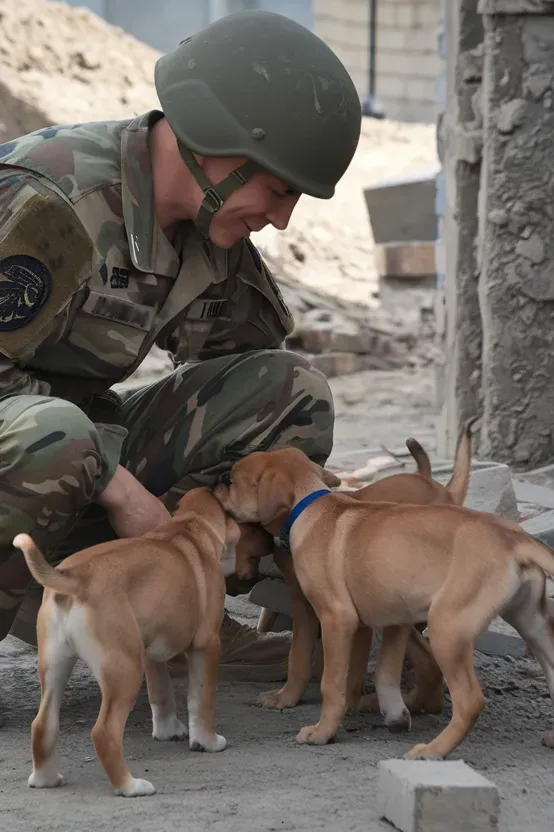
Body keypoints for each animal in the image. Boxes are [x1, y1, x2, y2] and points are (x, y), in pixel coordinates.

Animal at [12, 488, 239, 800]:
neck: (191, 527)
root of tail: (77, 581)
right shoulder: (206, 646)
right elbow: (201, 701)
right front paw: (207, 741)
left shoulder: (151, 654)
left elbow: (162, 694)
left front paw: (168, 730)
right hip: (125, 670)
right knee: (105, 732)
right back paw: (130, 786)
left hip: (55, 664)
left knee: (42, 724)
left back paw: (45, 779)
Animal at [212, 448, 554, 760]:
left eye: (232, 480)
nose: (215, 482)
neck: (310, 508)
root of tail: (515, 539)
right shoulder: (392, 618)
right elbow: (383, 671)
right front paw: (393, 713)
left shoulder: (337, 617)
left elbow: (330, 683)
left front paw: (323, 732)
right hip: (532, 626)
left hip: (448, 629)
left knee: (470, 700)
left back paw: (432, 750)